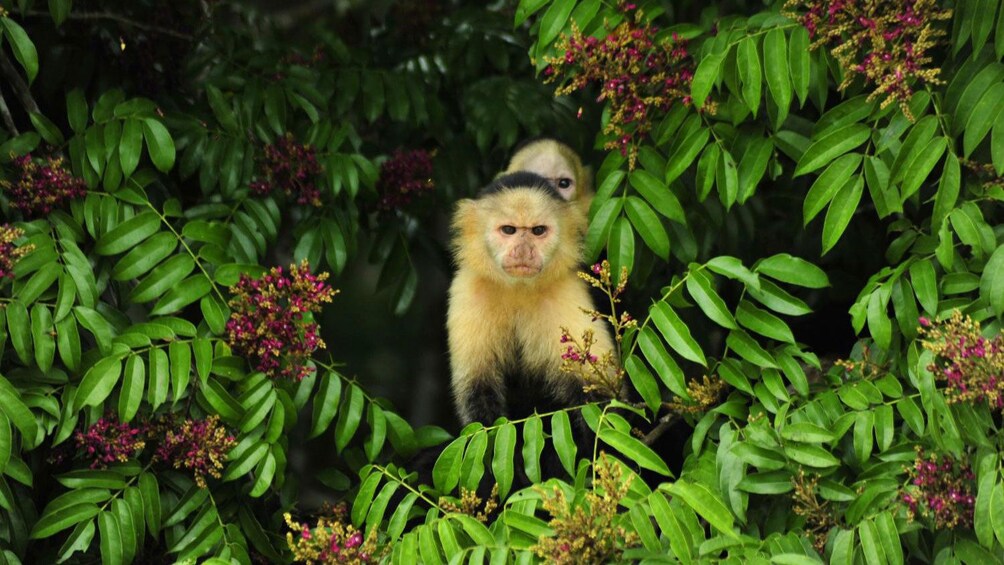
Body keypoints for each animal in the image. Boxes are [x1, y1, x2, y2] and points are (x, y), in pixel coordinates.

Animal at [445, 171, 610, 425]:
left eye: (538, 231)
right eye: (509, 230)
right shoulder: (467, 289)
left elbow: (597, 394)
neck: (519, 290)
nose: (523, 251)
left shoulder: (569, 290)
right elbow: (477, 389)